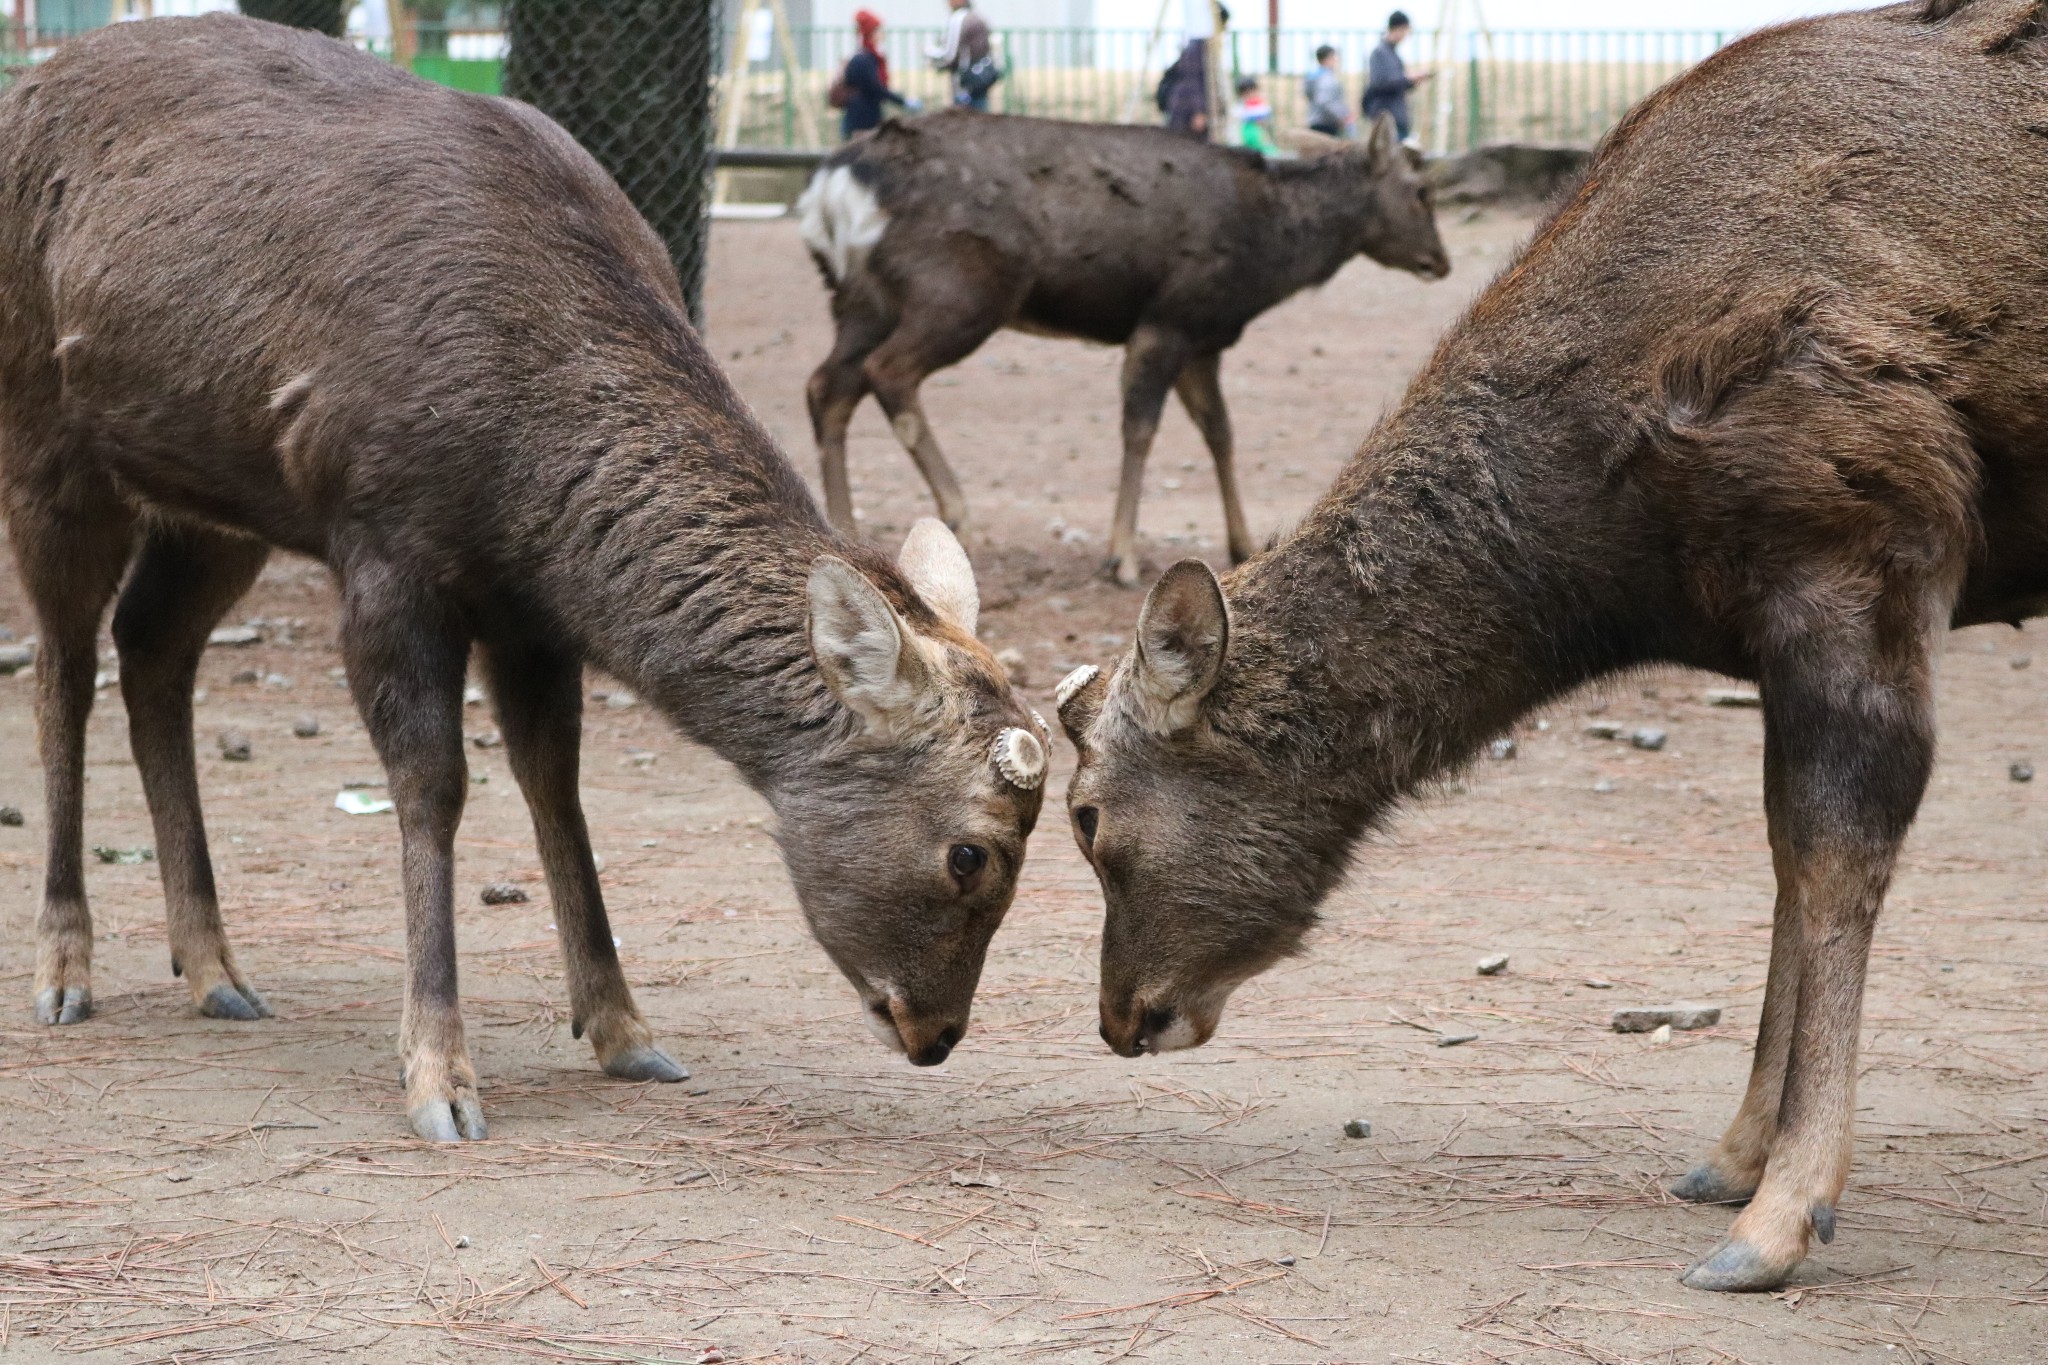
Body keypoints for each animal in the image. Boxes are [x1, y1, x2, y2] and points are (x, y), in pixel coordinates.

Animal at [0, 13, 1048, 1146]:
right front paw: (438, 1075)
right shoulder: (385, 549)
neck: (526, 460)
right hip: (44, 433)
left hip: (218, 502)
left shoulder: (529, 607)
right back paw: (64, 967)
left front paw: (626, 1032)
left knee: (153, 644)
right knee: (62, 664)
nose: (935, 1032)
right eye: (972, 852)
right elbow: (433, 785)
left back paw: (215, 968)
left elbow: (557, 785)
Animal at [790, 111, 1449, 589]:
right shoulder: (1165, 321)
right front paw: (1122, 558)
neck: (1265, 260)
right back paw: (958, 511)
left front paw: (1242, 542)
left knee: (827, 385)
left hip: (859, 302)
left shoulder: (1204, 338)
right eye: (1420, 189)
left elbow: (1221, 432)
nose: (1440, 261)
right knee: (888, 372)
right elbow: (1140, 429)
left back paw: (843, 530)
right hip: (959, 291)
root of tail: (832, 187)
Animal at [1056, 0, 2048, 1301]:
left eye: (1086, 818)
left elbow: (1835, 859)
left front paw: (1778, 1216)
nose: (1122, 1018)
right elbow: (1783, 857)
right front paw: (1730, 1152)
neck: (1607, 554)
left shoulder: (1867, 546)